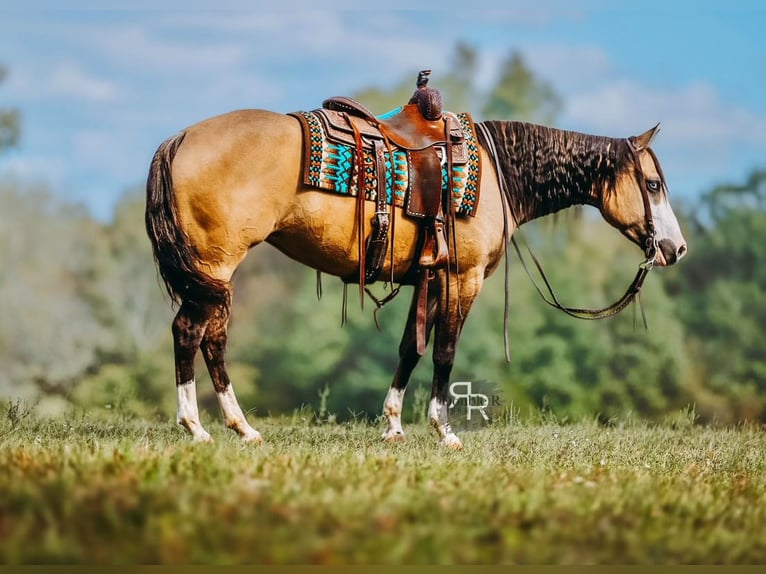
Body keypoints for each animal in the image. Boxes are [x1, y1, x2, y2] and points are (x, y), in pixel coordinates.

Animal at [145, 106, 687, 449]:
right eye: (653, 185)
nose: (676, 248)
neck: (496, 173)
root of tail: (180, 139)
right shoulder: (462, 278)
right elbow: (445, 351)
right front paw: (443, 430)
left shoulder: (427, 279)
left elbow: (410, 347)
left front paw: (393, 425)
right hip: (214, 268)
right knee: (190, 333)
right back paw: (196, 427)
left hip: (215, 276)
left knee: (210, 340)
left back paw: (241, 428)